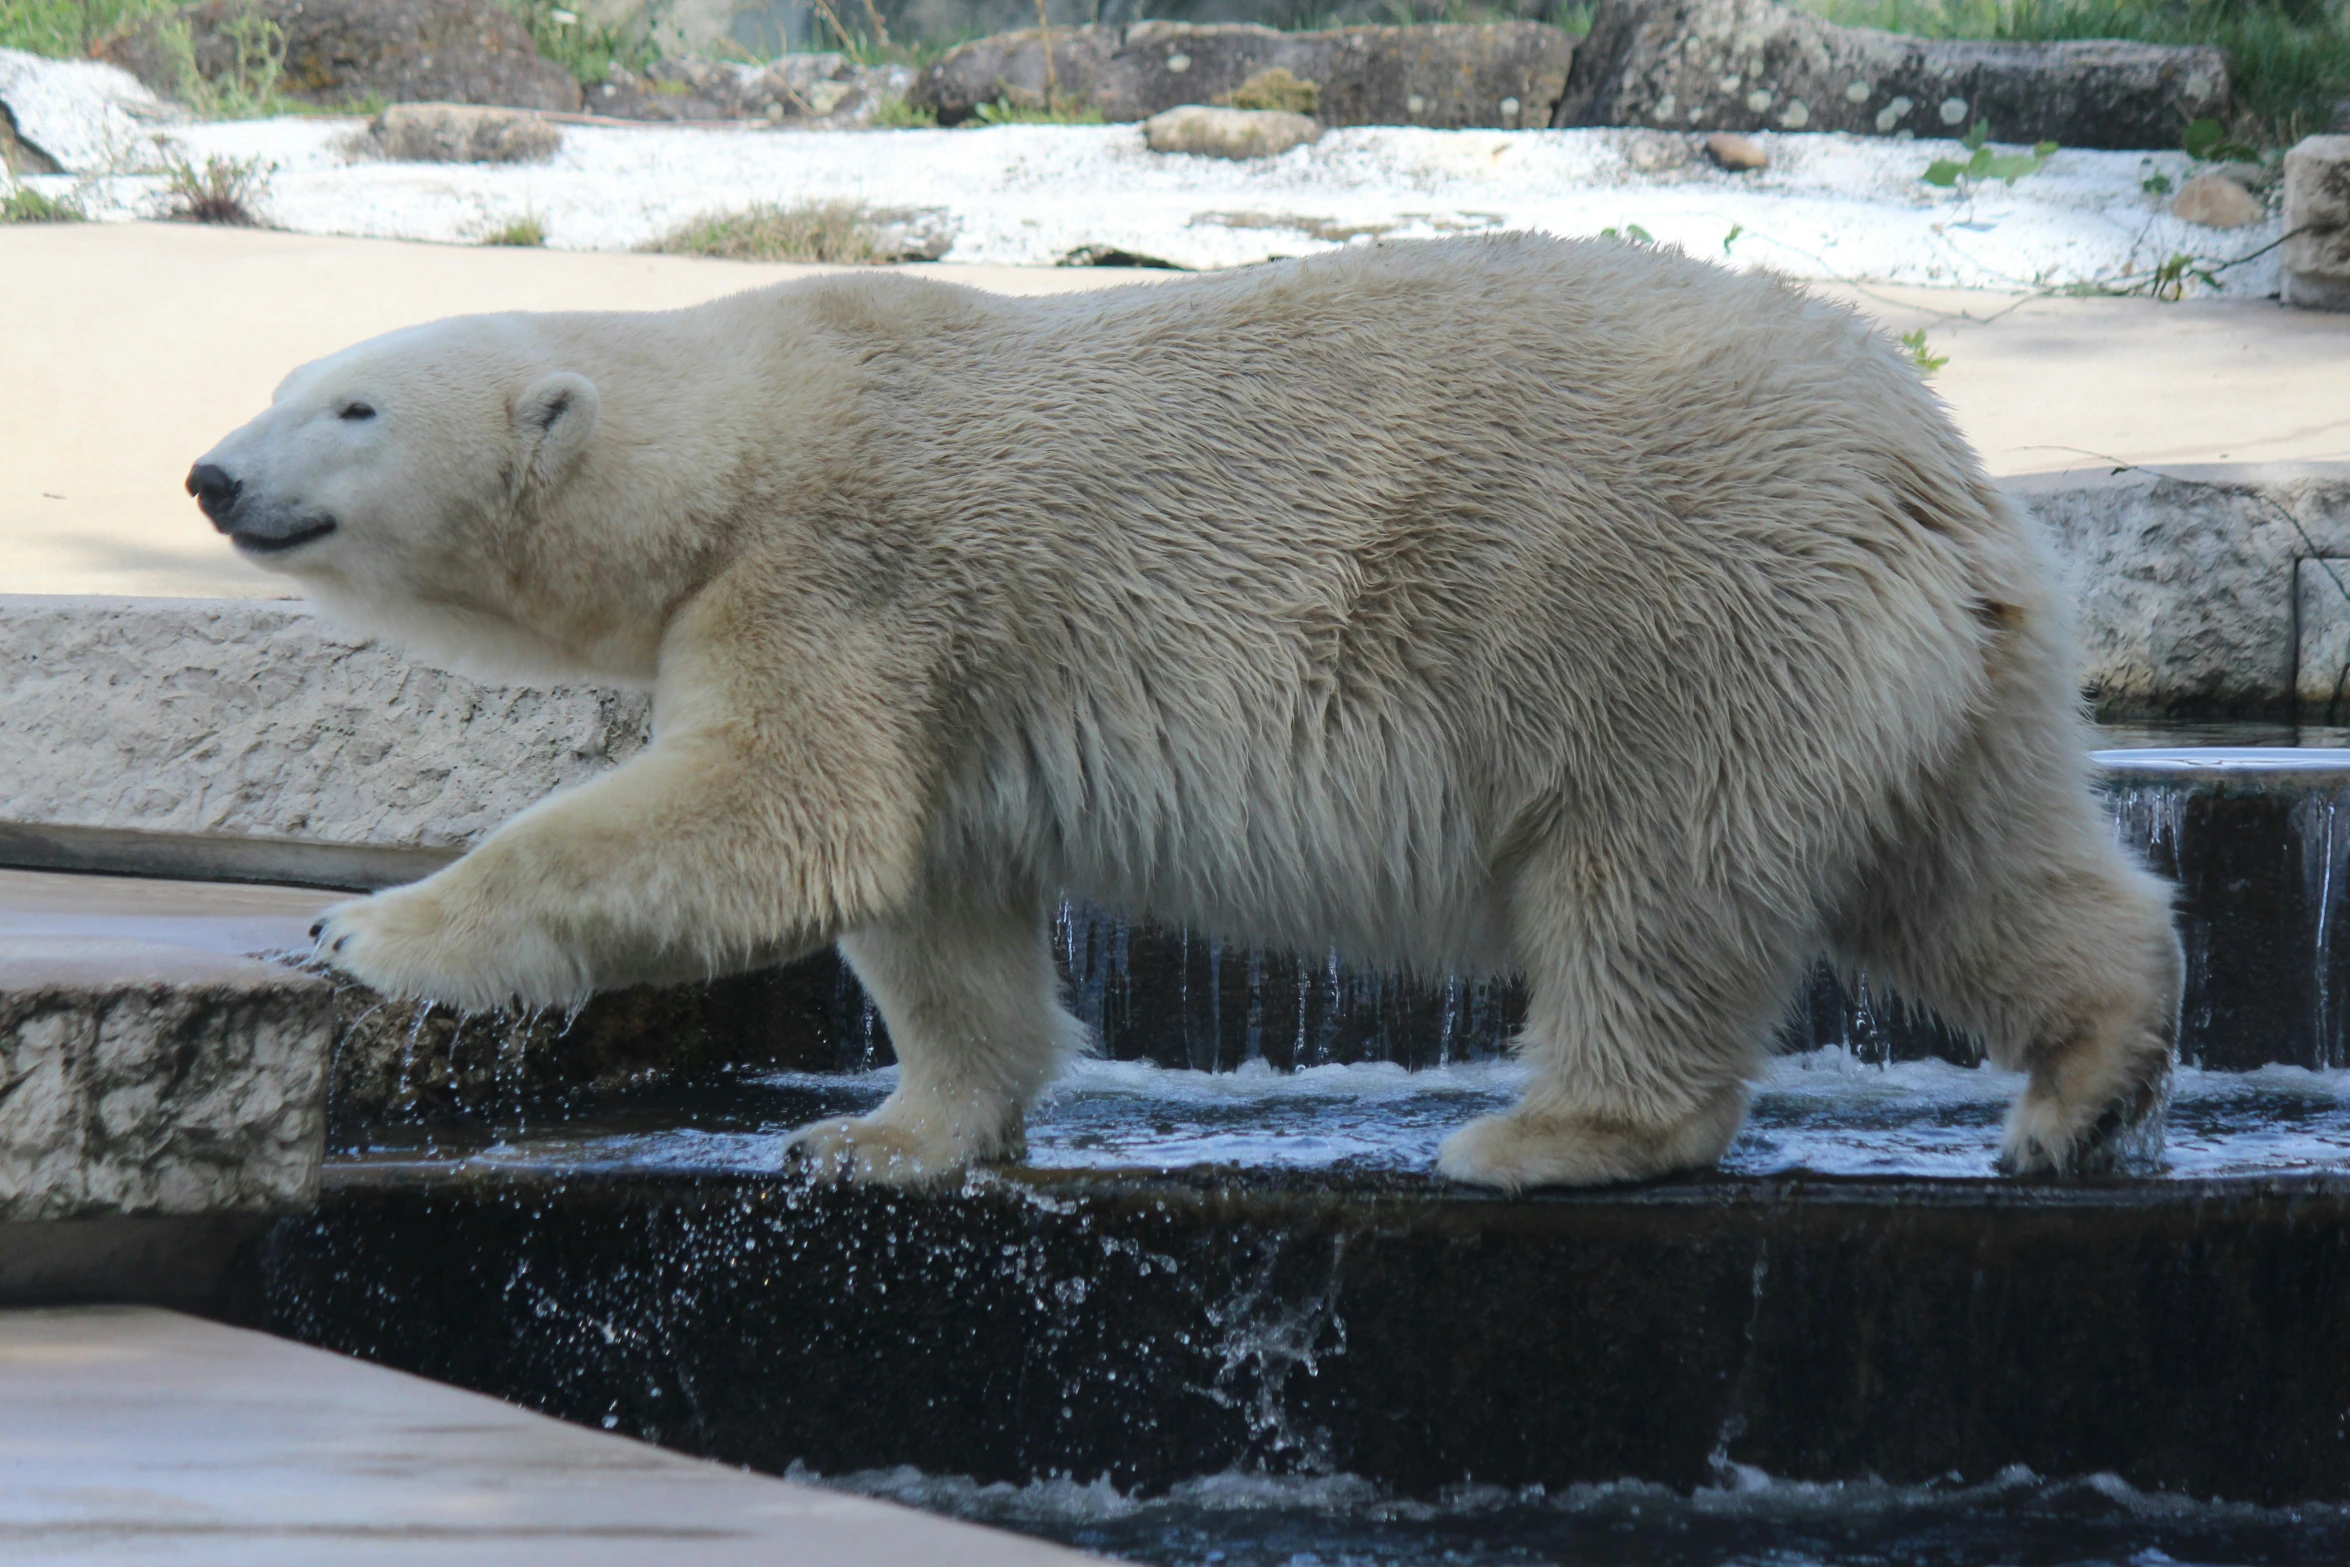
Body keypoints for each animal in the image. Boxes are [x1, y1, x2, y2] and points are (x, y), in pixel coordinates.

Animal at [188, 232, 2180, 1188]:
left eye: (351, 408)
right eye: (286, 381)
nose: (210, 472)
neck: (744, 426)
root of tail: (1934, 470)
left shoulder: (841, 568)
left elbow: (781, 813)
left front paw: (367, 928)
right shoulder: (941, 666)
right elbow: (933, 898)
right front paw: (882, 1136)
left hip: (1670, 609)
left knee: (1651, 877)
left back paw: (1548, 1132)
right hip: (1924, 664)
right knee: (1973, 861)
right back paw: (2079, 1083)